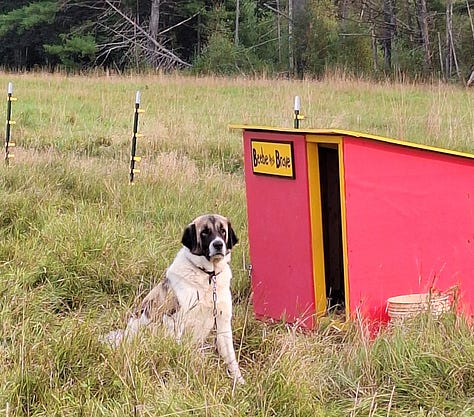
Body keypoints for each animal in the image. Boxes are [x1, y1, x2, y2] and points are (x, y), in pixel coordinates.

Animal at [103, 214, 244, 384]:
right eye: (204, 232)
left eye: (222, 231)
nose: (218, 244)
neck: (208, 277)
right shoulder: (175, 321)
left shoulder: (223, 323)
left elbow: (231, 358)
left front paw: (239, 382)